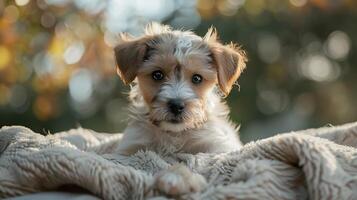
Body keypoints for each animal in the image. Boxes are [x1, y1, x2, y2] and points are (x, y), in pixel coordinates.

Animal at [112, 22, 246, 195]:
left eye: (197, 78)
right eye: (157, 75)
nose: (176, 105)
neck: (174, 134)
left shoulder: (216, 149)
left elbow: (196, 161)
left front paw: (178, 178)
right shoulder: (131, 150)